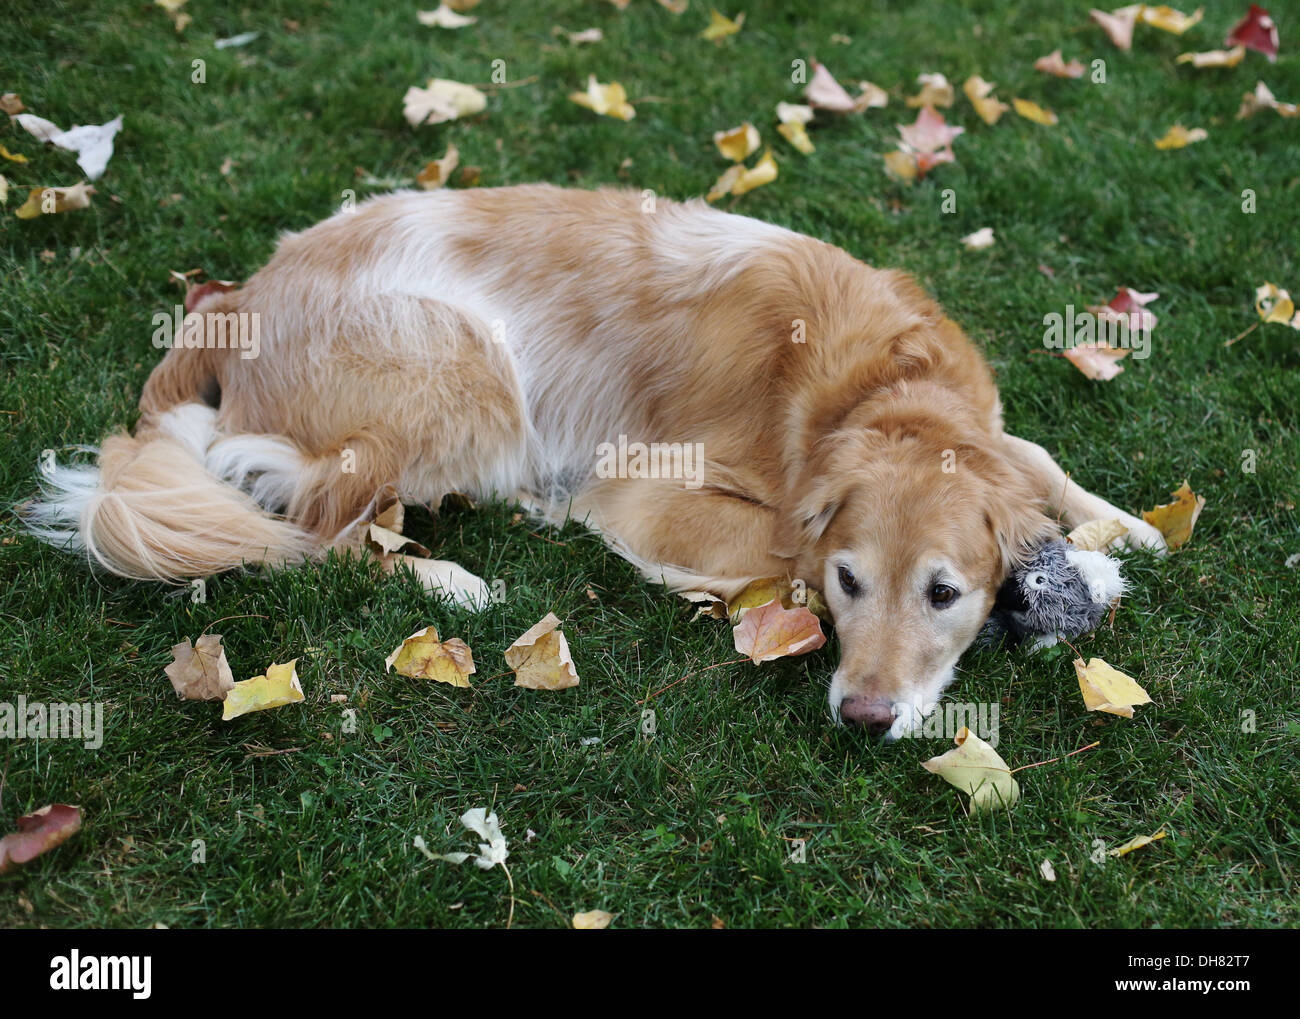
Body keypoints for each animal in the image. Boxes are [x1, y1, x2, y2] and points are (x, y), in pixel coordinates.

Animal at [27, 184, 1170, 733]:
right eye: (852, 583)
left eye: (942, 592)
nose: (862, 715)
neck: (873, 387)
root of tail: (231, 302)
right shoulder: (646, 491)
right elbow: (781, 540)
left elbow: (1031, 451)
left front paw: (1122, 525)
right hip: (467, 367)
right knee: (319, 527)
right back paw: (452, 576)